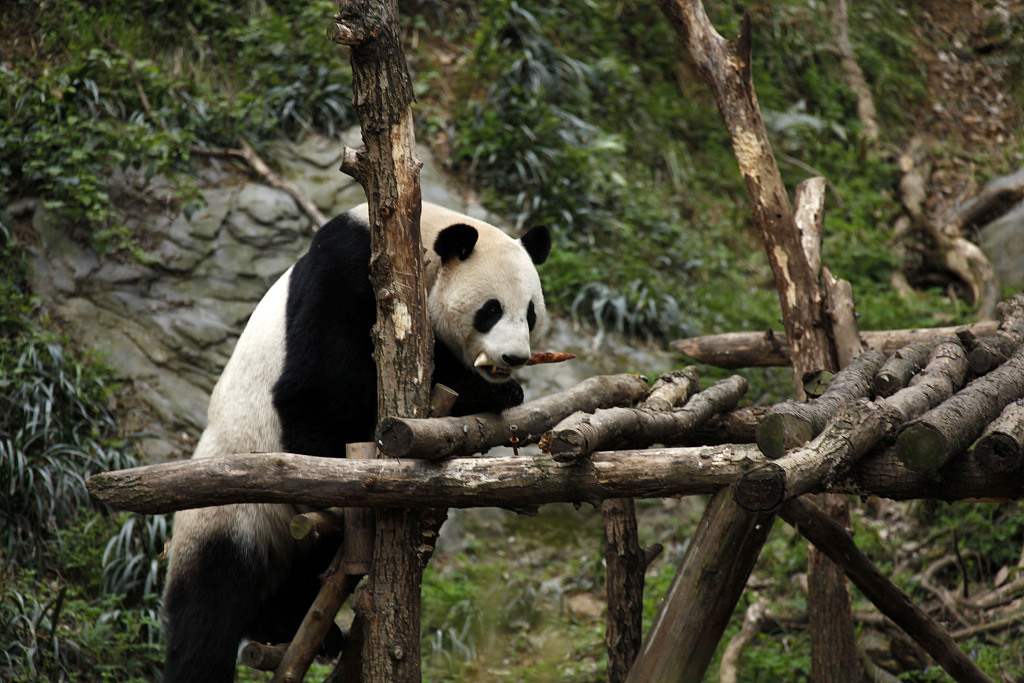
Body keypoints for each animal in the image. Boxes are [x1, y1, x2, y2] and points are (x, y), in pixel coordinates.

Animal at [159, 202, 548, 683]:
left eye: (530, 313)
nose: (514, 358)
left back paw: (301, 631)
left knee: (301, 573)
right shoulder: (348, 273)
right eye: (490, 310)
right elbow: (325, 387)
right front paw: (488, 389)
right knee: (211, 601)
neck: (419, 246)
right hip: (232, 504)